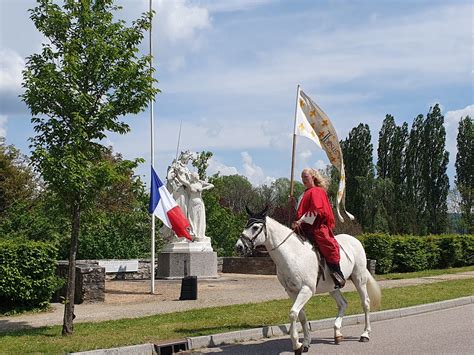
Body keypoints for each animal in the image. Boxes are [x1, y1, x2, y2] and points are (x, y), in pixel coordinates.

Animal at [235, 207, 384, 354]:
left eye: (255, 227)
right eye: (246, 224)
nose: (239, 246)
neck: (293, 254)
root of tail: (355, 240)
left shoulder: (306, 290)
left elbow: (293, 313)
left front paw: (297, 345)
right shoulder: (292, 292)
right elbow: (301, 316)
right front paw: (305, 343)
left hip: (359, 279)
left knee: (365, 303)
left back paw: (365, 334)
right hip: (332, 287)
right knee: (343, 304)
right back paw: (337, 333)